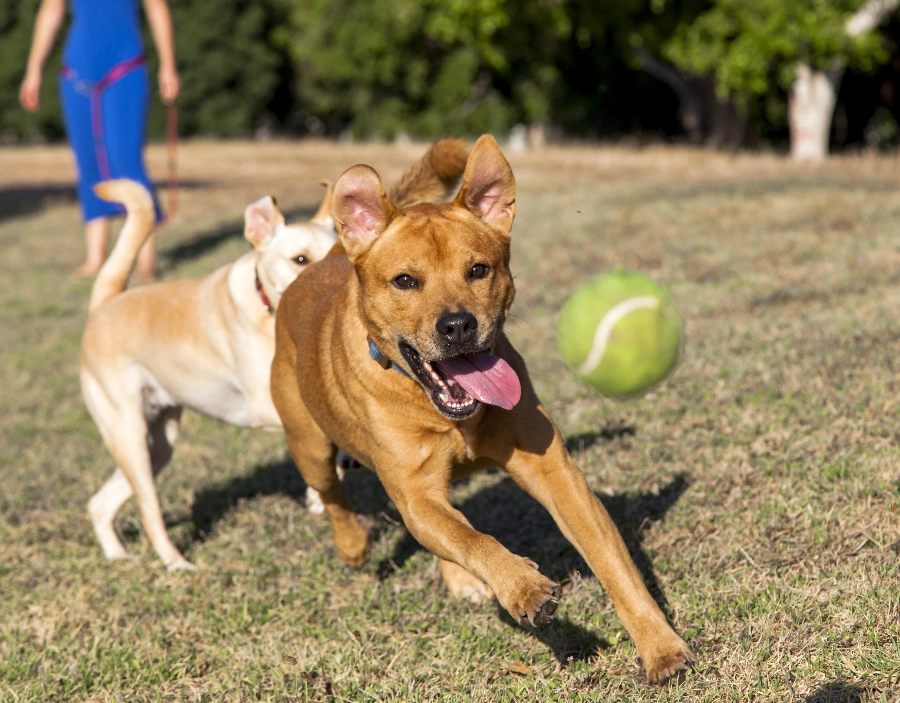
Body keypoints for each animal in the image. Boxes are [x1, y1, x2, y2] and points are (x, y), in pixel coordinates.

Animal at [270, 136, 692, 680]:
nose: (457, 326)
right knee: (335, 493)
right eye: (405, 281)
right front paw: (523, 588)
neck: (443, 410)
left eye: (478, 270)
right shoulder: (416, 491)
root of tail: (331, 256)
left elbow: (612, 563)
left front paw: (661, 648)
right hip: (309, 444)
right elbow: (473, 540)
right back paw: (354, 547)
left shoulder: (556, 473)